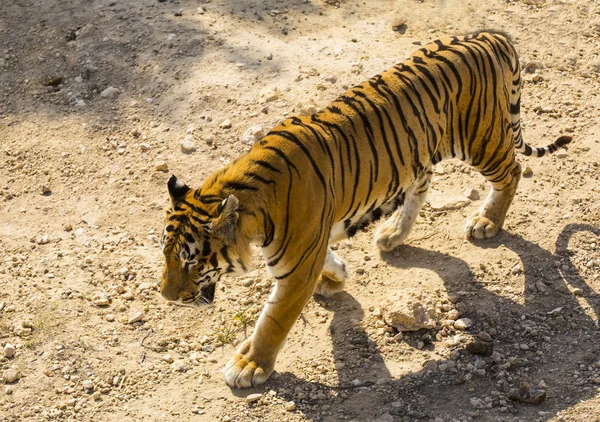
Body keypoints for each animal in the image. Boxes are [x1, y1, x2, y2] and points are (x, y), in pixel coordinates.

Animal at [158, 31, 572, 390]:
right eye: (166, 256)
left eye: (191, 261)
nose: (165, 297)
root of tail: (490, 35)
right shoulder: (310, 245)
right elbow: (325, 260)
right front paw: (337, 275)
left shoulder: (296, 267)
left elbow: (272, 320)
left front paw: (249, 365)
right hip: (419, 151)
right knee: (423, 184)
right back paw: (392, 234)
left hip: (481, 140)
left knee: (512, 171)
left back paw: (486, 221)